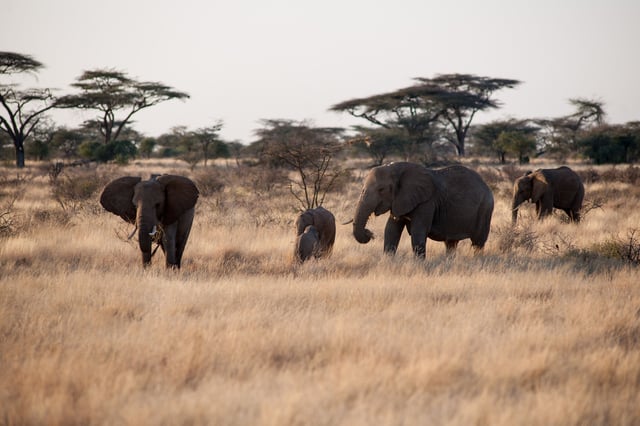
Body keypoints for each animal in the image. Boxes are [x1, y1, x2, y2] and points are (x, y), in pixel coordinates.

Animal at [352, 162, 494, 258]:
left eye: (381, 189)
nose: (369, 233)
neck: (397, 168)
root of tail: (486, 185)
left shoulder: (427, 202)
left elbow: (418, 232)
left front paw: (418, 265)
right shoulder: (400, 200)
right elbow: (391, 229)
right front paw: (388, 262)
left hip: (485, 209)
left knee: (478, 242)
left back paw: (477, 261)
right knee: (451, 243)